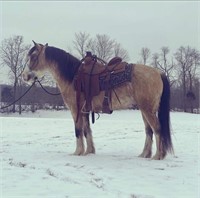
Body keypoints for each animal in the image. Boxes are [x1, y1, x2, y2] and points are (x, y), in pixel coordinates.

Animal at [22, 41, 173, 160]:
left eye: (33, 56)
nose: (24, 76)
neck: (73, 77)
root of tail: (158, 72)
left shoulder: (75, 110)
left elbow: (78, 131)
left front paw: (77, 152)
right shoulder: (85, 111)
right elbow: (87, 130)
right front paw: (89, 151)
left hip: (148, 110)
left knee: (157, 129)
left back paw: (158, 156)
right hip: (144, 109)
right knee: (149, 131)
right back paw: (144, 154)